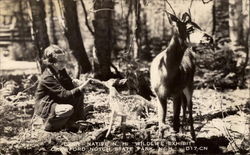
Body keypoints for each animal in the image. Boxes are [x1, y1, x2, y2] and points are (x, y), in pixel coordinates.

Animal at [150, 11, 213, 140]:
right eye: (190, 28)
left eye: (199, 26)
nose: (210, 38)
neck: (165, 74)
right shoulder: (159, 94)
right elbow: (161, 122)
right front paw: (160, 139)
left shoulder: (176, 93)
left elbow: (175, 123)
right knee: (185, 107)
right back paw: (185, 131)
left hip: (190, 84)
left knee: (189, 106)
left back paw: (192, 135)